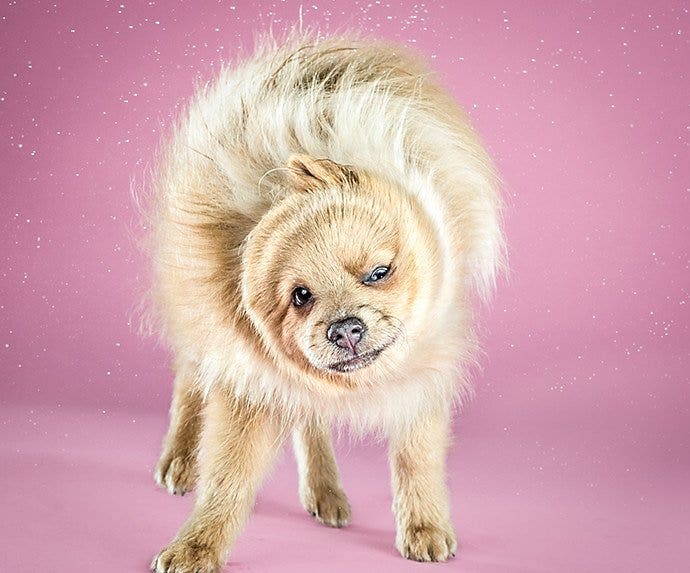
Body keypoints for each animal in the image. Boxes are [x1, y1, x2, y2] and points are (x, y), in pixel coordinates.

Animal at [146, 32, 500, 572]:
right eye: (300, 296)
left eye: (378, 273)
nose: (345, 328)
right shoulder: (246, 379)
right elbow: (228, 477)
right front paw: (196, 546)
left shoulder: (424, 373)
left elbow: (416, 459)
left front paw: (425, 526)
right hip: (197, 319)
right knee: (189, 383)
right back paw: (180, 460)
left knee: (310, 422)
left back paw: (325, 491)